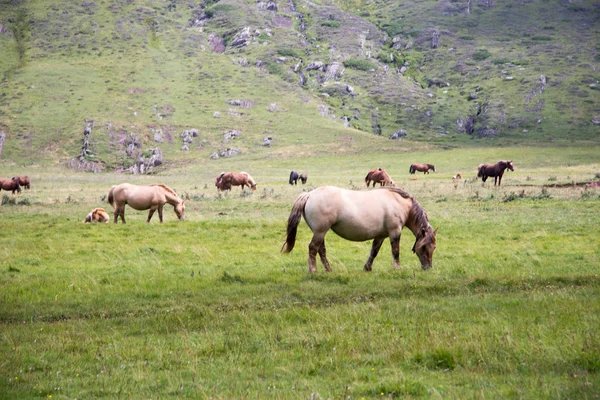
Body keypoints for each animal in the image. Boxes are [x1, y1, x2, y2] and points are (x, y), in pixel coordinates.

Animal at [282, 186, 436, 274]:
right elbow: (396, 251)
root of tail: (309, 194)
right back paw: (313, 270)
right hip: (320, 231)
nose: (428, 268)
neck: (399, 203)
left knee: (321, 250)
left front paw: (367, 268)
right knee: (313, 248)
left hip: (320, 232)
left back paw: (329, 269)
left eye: (433, 247)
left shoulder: (380, 236)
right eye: (424, 247)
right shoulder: (395, 232)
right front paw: (397, 268)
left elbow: (374, 251)